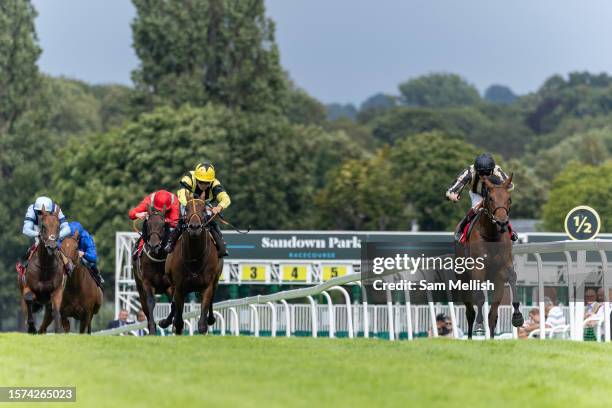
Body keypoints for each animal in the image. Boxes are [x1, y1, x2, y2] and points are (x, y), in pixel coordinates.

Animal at [20, 206, 66, 334]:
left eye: (58, 226)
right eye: (44, 226)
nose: (51, 246)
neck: (45, 266)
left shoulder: (57, 290)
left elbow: (56, 311)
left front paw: (58, 331)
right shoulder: (27, 287)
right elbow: (29, 298)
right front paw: (31, 327)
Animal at [134, 204, 172, 334]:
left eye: (162, 225)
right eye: (148, 224)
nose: (153, 246)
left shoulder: (171, 285)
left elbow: (174, 303)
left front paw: (166, 323)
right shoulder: (147, 283)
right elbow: (150, 303)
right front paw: (153, 329)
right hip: (140, 288)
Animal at [160, 198, 222, 334]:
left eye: (204, 209)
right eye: (187, 208)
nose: (194, 227)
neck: (194, 258)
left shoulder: (207, 286)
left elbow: (202, 323)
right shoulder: (179, 287)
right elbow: (178, 321)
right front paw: (172, 325)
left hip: (215, 281)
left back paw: (211, 318)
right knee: (173, 306)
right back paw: (166, 321)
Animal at [456, 174, 524, 340]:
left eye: (509, 199)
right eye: (491, 198)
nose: (502, 222)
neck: (491, 235)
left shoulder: (503, 267)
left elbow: (512, 277)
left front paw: (517, 316)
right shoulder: (478, 268)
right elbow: (480, 297)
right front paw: (480, 326)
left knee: (492, 314)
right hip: (463, 278)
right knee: (470, 312)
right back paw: (471, 335)